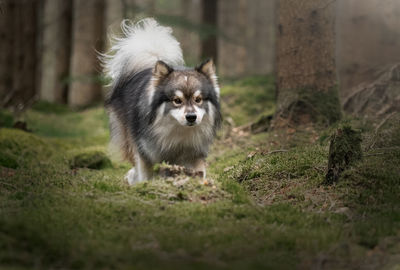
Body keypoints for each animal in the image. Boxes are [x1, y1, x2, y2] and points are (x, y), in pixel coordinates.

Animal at [101, 17, 222, 185]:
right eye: (177, 100)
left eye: (198, 99)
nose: (191, 117)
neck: (178, 131)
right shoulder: (145, 151)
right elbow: (145, 172)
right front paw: (143, 184)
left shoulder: (194, 155)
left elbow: (199, 172)